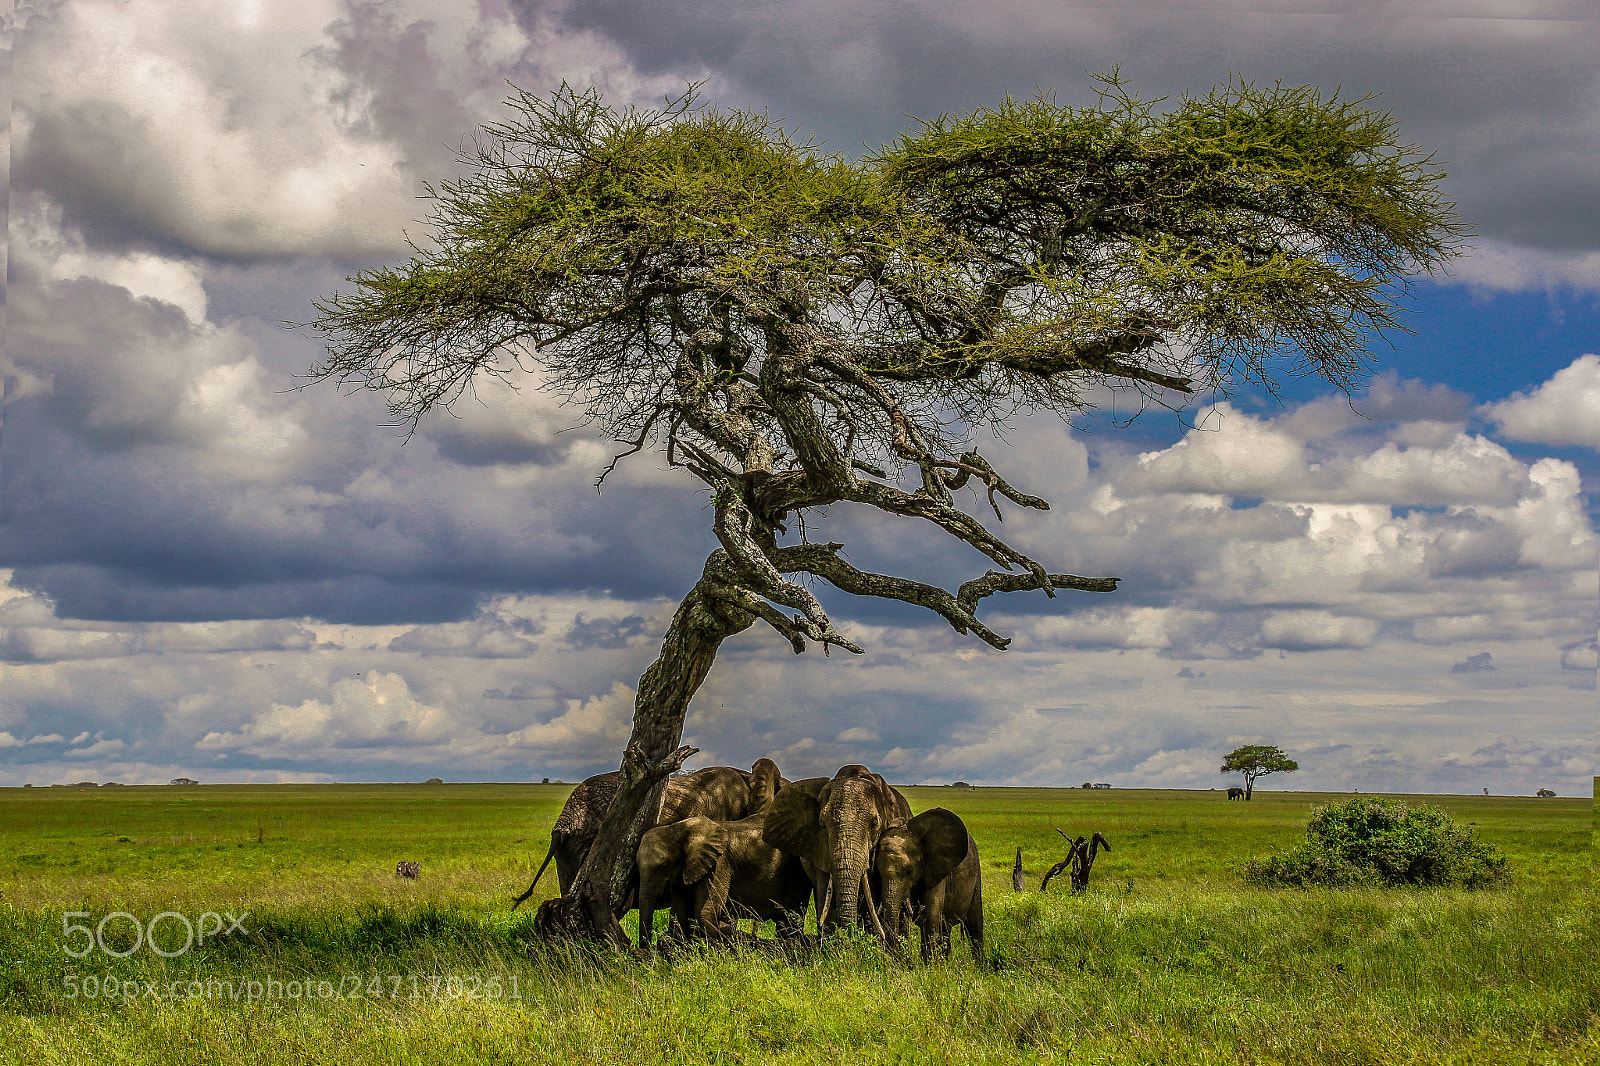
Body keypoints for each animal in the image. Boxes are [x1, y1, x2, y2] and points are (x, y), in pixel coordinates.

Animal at [875, 807, 983, 963]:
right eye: (877, 872)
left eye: (909, 871)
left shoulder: (936, 870)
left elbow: (930, 916)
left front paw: (929, 967)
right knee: (945, 929)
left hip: (976, 875)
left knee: (975, 926)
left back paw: (980, 966)